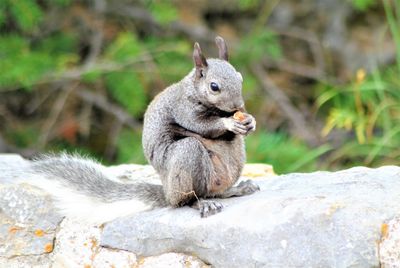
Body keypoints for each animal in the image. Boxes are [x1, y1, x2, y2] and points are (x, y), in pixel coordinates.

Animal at [0, 36, 260, 223]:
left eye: (240, 78)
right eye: (214, 87)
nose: (238, 106)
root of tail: (166, 192)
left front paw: (250, 121)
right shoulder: (182, 108)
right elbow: (200, 125)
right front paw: (228, 123)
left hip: (235, 158)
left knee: (217, 190)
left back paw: (236, 189)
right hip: (187, 158)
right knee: (187, 199)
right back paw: (201, 203)